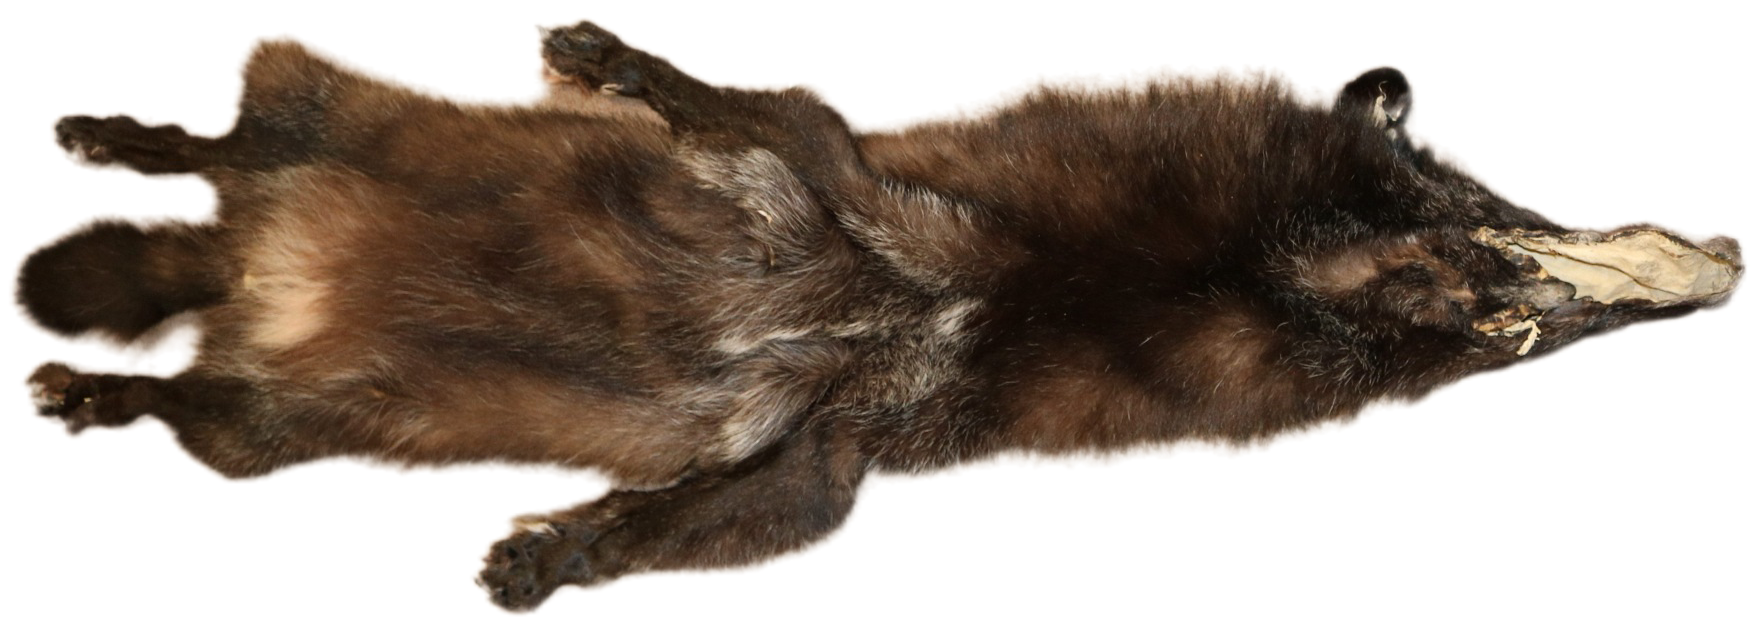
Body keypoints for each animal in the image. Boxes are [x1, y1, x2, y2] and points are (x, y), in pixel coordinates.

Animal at [17, 18, 1743, 614]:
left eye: (1497, 314)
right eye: (1466, 190)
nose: (1716, 250)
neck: (1003, 290)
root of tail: (258, 279)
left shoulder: (856, 443)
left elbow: (751, 512)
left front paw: (543, 550)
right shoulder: (874, 189)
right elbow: (779, 111)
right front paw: (604, 55)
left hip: (271, 415)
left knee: (196, 370)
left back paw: (90, 363)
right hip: (322, 96)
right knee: (235, 134)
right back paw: (107, 167)